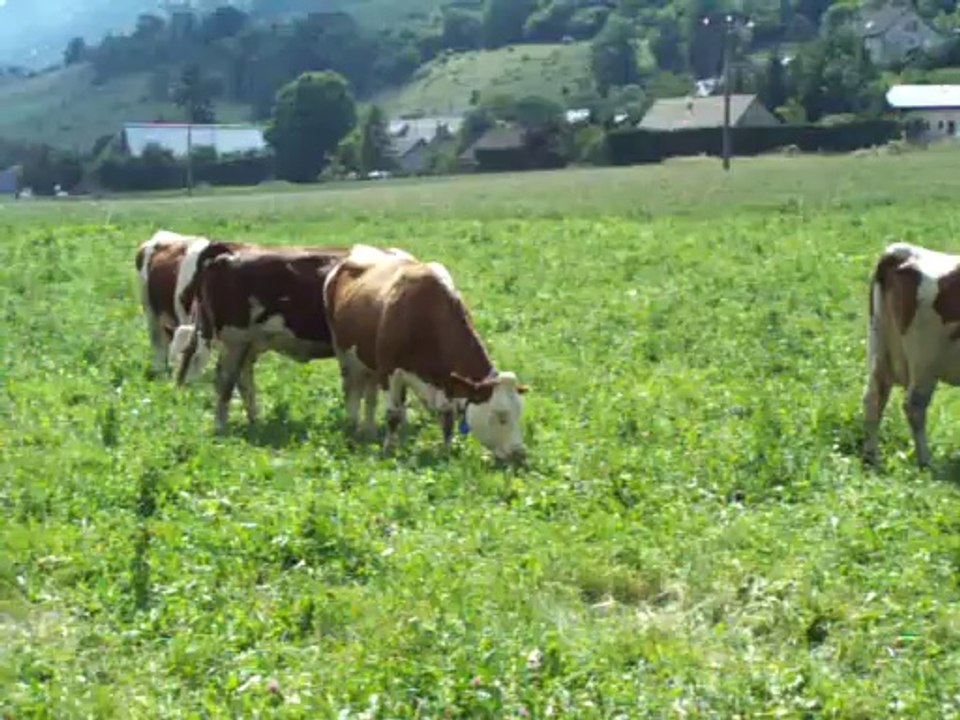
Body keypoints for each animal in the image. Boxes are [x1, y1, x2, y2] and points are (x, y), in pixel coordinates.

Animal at [134, 229, 249, 376]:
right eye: (181, 355)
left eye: (196, 358)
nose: (180, 381)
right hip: (149, 307)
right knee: (158, 341)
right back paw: (158, 368)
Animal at [173, 242, 350, 433]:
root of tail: (231, 250)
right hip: (235, 338)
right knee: (225, 379)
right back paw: (222, 426)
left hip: (248, 342)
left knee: (242, 378)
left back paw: (255, 422)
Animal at [322, 244, 530, 462]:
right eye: (501, 416)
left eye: (519, 413)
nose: (520, 454)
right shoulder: (389, 371)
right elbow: (393, 414)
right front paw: (389, 450)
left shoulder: (446, 382)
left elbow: (447, 418)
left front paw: (447, 452)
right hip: (344, 353)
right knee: (351, 391)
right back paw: (352, 426)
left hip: (368, 360)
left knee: (370, 396)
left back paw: (369, 431)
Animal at [863, 241, 960, 468]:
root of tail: (903, 251)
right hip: (925, 360)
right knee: (914, 407)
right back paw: (926, 461)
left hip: (879, 346)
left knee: (873, 397)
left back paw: (871, 458)